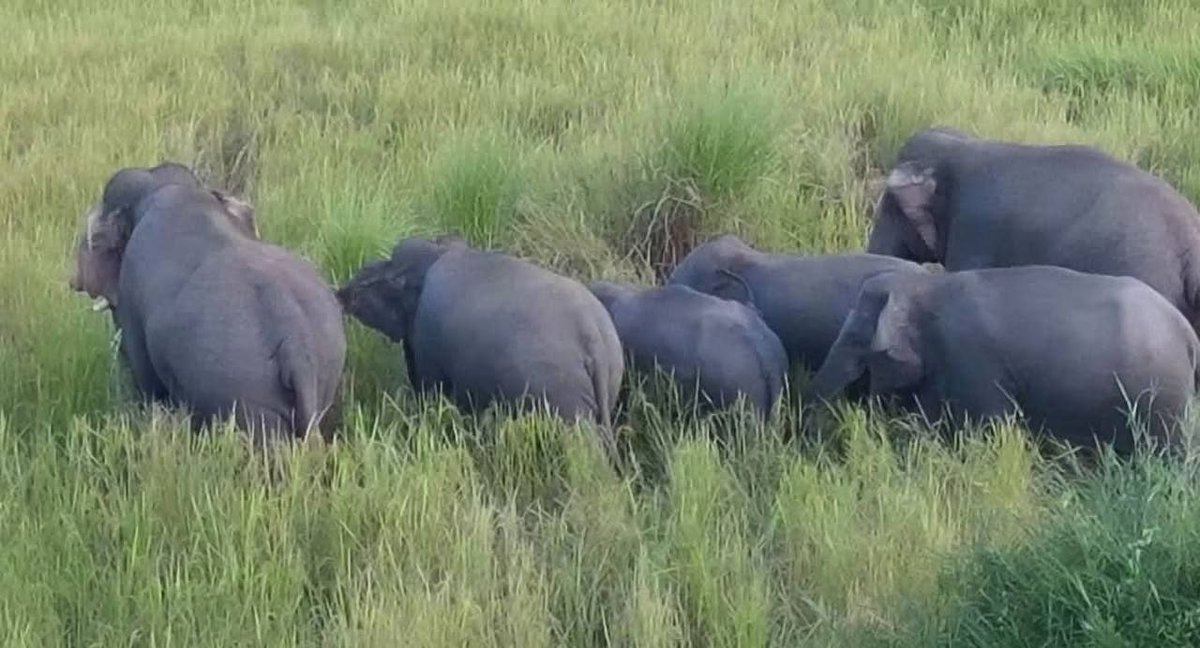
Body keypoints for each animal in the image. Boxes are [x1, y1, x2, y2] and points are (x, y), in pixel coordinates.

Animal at [336, 235, 625, 456]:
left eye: (392, 268)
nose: (343, 291)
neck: (437, 253)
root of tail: (593, 339)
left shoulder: (427, 343)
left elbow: (429, 389)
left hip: (562, 398)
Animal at [805, 265, 1200, 455]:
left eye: (856, 337)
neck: (929, 286)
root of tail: (1188, 334)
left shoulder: (973, 358)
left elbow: (990, 425)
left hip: (1160, 397)